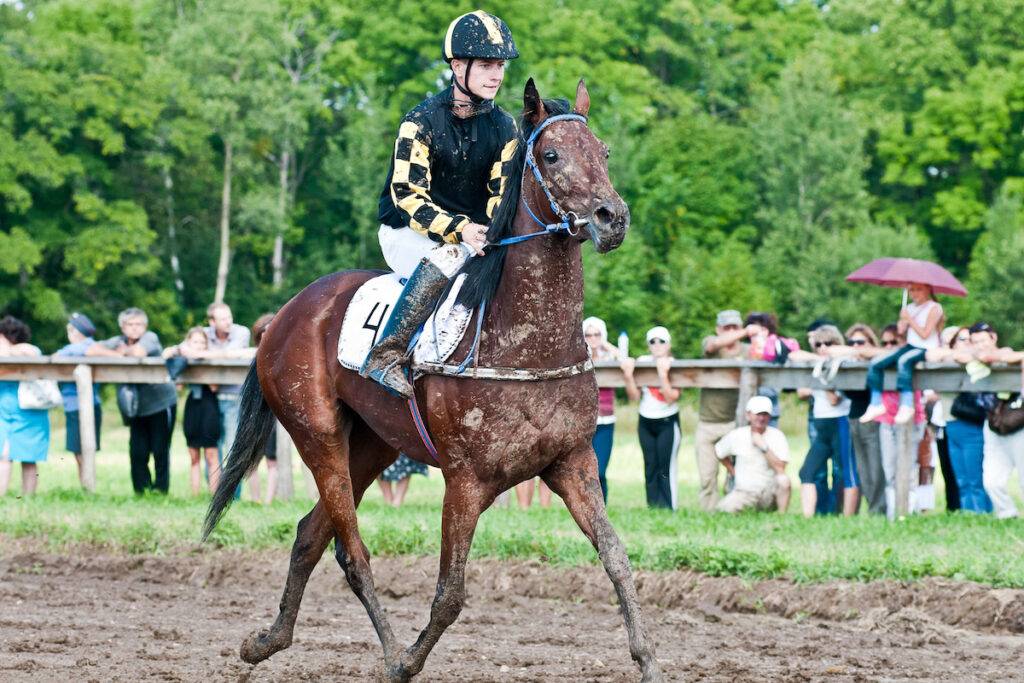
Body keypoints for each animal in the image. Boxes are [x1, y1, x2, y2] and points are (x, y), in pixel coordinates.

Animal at [201, 77, 663, 679]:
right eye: (552, 155)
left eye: (603, 152)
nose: (613, 218)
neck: (525, 341)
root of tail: (283, 314)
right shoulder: (465, 481)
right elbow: (450, 594)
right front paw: (407, 662)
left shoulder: (574, 462)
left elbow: (617, 559)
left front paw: (648, 660)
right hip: (317, 434)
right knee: (351, 551)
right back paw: (390, 651)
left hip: (372, 444)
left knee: (309, 535)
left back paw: (267, 640)